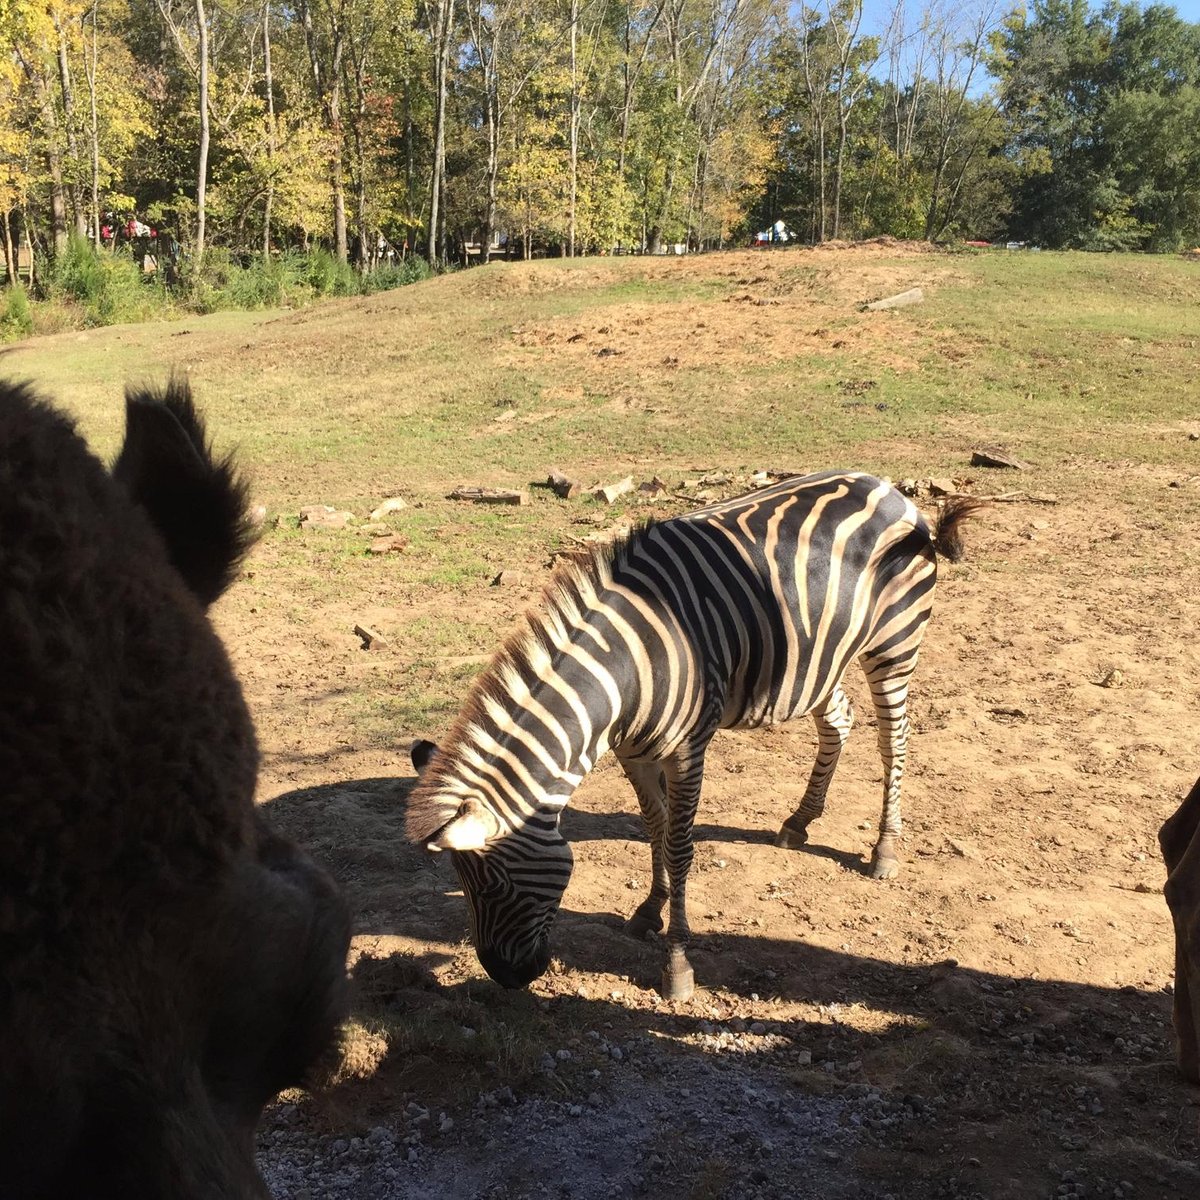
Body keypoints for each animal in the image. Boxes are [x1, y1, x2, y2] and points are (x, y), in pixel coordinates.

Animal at [408, 472, 979, 998]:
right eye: (464, 884)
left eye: (496, 886)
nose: (506, 978)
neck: (627, 671)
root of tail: (887, 488)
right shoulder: (634, 753)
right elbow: (654, 828)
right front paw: (649, 908)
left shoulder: (686, 752)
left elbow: (680, 846)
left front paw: (677, 966)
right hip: (818, 658)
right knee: (838, 720)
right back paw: (799, 820)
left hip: (894, 644)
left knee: (894, 741)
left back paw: (885, 848)